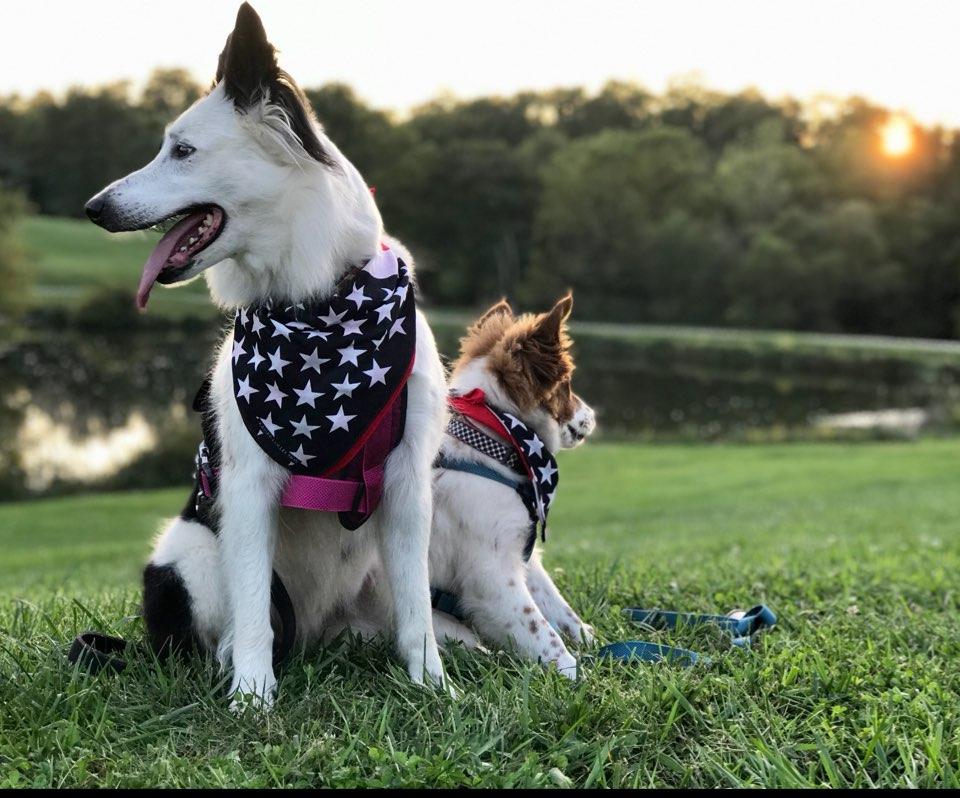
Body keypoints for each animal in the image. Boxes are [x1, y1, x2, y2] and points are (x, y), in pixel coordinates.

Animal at [86, 3, 446, 708]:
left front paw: (431, 684)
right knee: (226, 626)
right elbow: (254, 608)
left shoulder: (406, 482)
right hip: (191, 551)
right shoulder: (246, 487)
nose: (94, 208)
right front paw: (253, 697)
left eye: (183, 151)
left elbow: (419, 609)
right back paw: (232, 658)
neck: (317, 305)